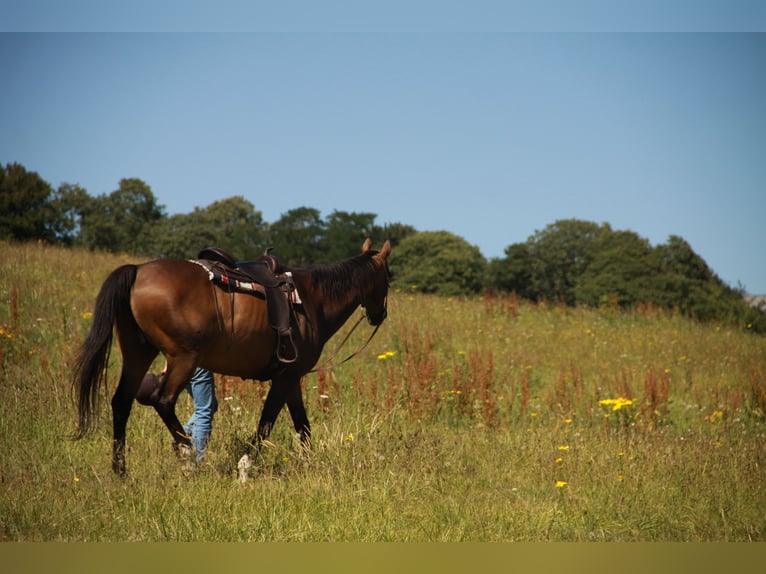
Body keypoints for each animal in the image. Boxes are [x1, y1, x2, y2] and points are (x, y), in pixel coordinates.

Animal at [75, 238, 392, 476]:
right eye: (390, 277)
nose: (380, 315)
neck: (312, 301)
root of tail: (138, 270)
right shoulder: (285, 378)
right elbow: (266, 423)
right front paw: (245, 466)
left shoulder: (291, 378)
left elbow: (302, 425)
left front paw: (310, 464)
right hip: (183, 358)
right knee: (162, 400)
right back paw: (188, 457)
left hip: (138, 353)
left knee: (122, 402)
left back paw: (120, 470)